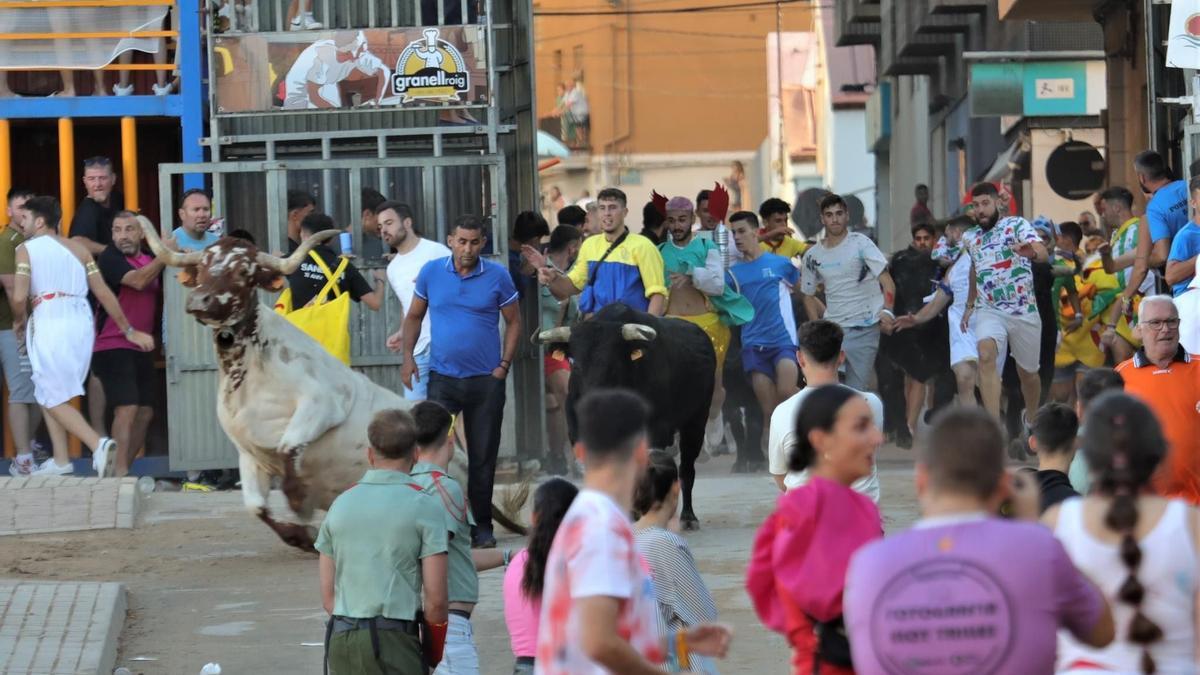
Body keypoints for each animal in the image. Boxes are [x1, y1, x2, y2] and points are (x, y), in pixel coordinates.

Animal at [137, 219, 520, 547]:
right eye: (203, 266)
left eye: (244, 271)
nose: (198, 301)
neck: (249, 377)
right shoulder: (247, 450)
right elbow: (256, 506)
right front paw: (299, 536)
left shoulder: (323, 403)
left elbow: (289, 451)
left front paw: (300, 505)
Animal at [540, 302, 715, 528]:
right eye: (573, 362)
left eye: (612, 363)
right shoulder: (578, 433)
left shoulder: (654, 430)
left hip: (696, 422)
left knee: (686, 468)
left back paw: (688, 517)